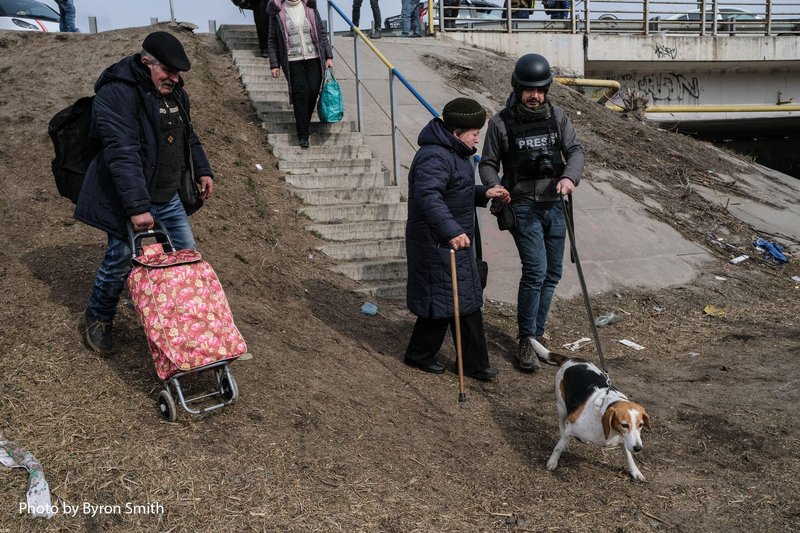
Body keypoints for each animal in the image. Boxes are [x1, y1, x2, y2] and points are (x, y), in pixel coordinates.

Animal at [528, 340, 652, 482]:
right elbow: (558, 447)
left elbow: (629, 457)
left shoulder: (625, 440)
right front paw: (552, 462)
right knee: (561, 423)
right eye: (624, 425)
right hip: (562, 407)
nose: (638, 448)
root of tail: (570, 359)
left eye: (641, 425)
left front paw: (635, 472)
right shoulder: (571, 427)